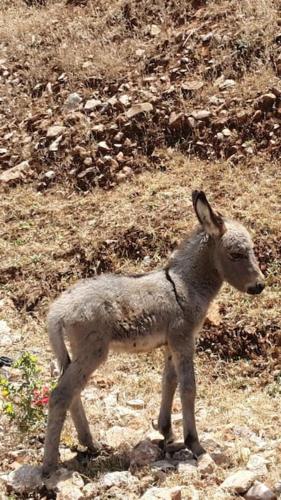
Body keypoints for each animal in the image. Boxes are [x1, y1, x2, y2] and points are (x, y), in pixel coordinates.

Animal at [41, 189, 262, 474]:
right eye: (236, 254)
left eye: (252, 251)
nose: (260, 286)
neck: (185, 284)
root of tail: (57, 310)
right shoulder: (183, 339)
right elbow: (188, 387)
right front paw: (195, 444)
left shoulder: (171, 343)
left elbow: (169, 381)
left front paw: (166, 432)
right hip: (93, 351)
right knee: (60, 395)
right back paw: (49, 465)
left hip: (75, 354)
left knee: (72, 392)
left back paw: (90, 444)